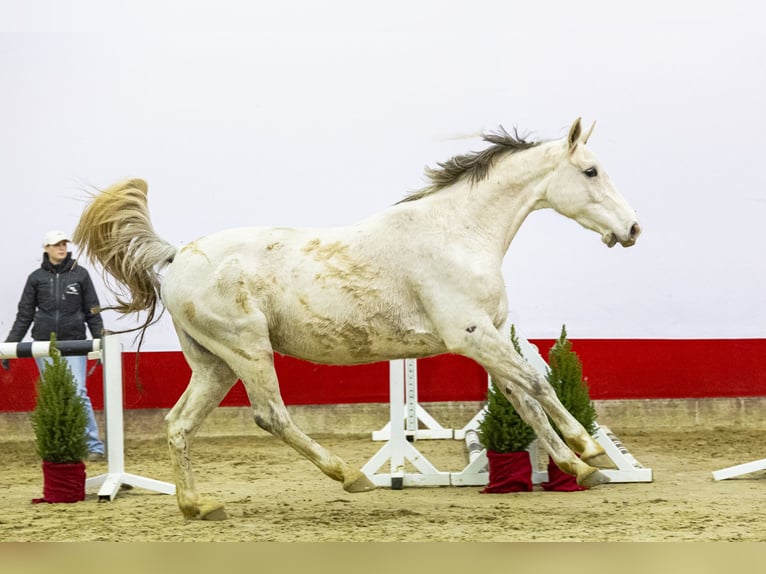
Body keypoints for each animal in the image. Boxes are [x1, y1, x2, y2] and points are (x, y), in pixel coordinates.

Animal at [73, 117, 641, 520]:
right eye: (590, 171)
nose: (633, 228)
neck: (458, 233)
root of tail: (177, 255)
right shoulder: (472, 336)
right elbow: (538, 386)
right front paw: (590, 449)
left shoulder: (492, 336)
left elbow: (524, 398)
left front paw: (576, 467)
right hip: (247, 348)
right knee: (271, 415)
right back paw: (349, 476)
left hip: (213, 364)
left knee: (179, 423)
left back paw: (198, 506)